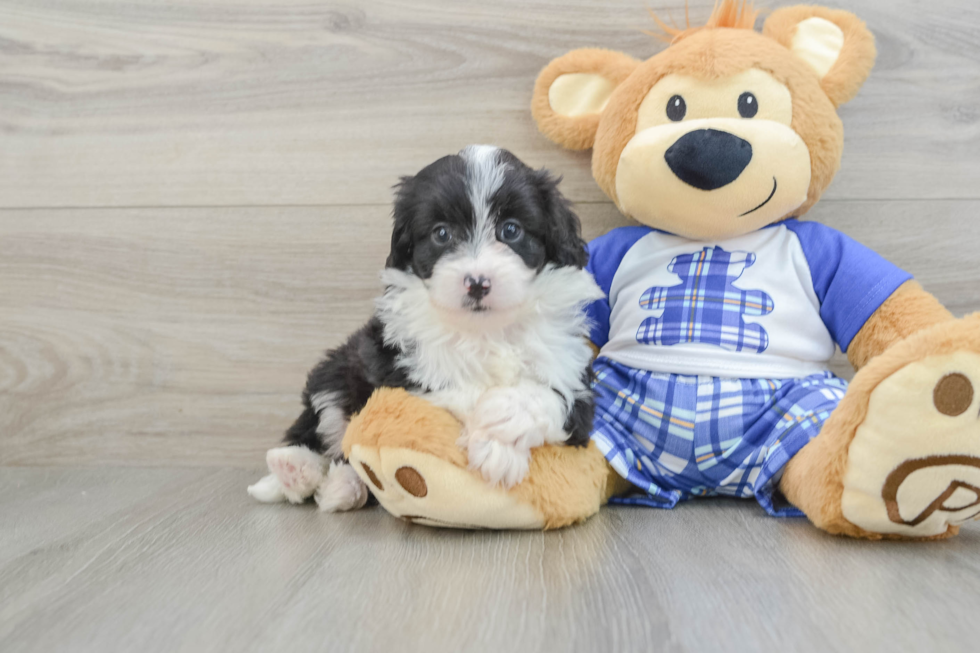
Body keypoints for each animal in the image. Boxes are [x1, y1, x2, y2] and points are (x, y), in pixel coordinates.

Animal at [247, 145, 596, 512]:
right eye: (441, 233)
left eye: (511, 230)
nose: (477, 282)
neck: (484, 331)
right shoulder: (398, 366)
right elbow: (450, 388)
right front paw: (493, 440)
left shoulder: (575, 381)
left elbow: (548, 394)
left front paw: (499, 434)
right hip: (336, 371)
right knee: (326, 429)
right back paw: (299, 471)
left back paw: (337, 484)